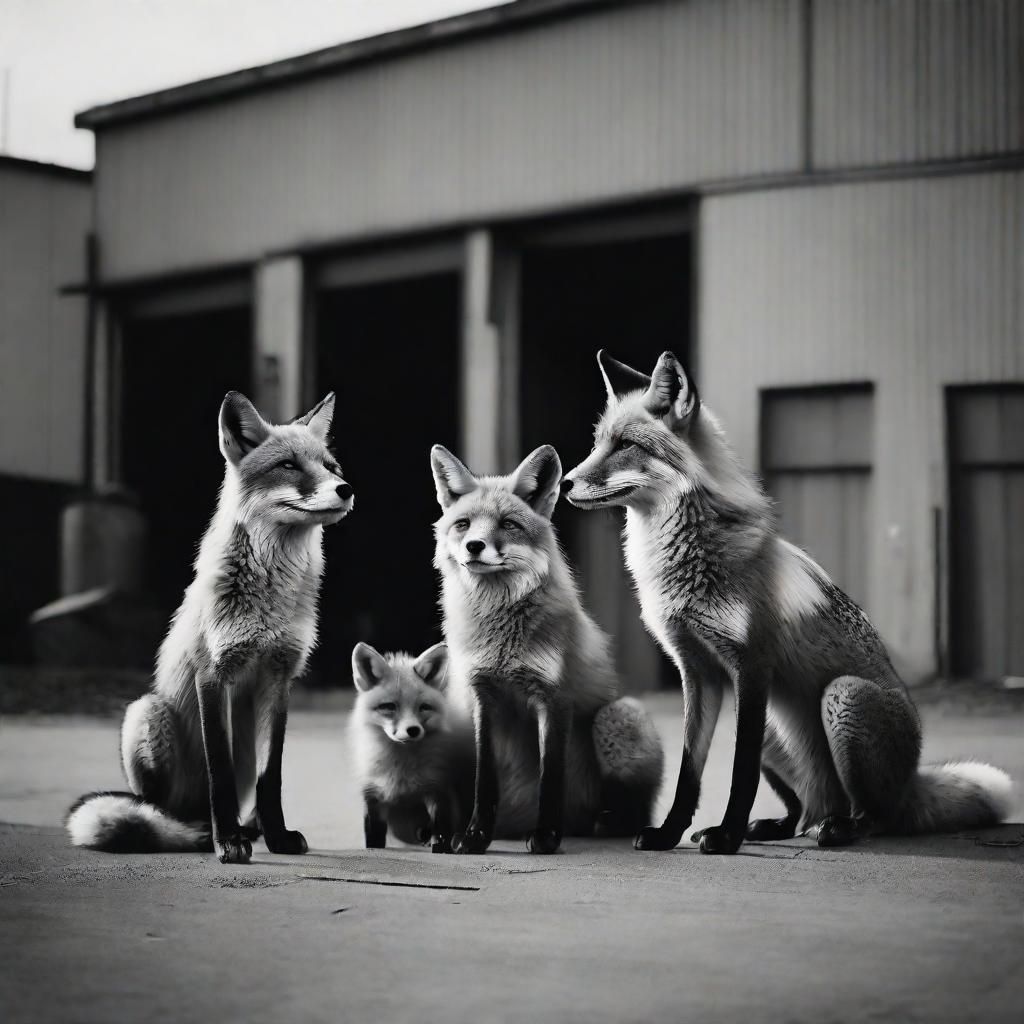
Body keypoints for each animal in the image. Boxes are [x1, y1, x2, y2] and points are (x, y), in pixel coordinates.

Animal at [66, 390, 353, 864]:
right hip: (144, 712)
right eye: (289, 465)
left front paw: (276, 836)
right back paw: (196, 831)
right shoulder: (213, 672)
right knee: (157, 811)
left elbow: (271, 777)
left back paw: (245, 828)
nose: (345, 489)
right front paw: (228, 842)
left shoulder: (280, 677)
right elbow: (219, 770)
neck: (270, 601)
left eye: (332, 467)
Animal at [349, 640, 474, 853]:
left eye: (424, 707)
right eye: (389, 707)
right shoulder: (373, 794)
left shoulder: (437, 790)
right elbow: (373, 838)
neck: (402, 775)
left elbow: (441, 829)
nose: (413, 730)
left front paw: (441, 848)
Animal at [430, 443, 665, 855]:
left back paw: (608, 825)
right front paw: (475, 836)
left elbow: (550, 776)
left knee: (631, 811)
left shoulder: (553, 697)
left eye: (508, 524)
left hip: (620, 715)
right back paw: (445, 833)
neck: (500, 635)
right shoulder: (480, 696)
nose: (474, 546)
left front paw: (545, 836)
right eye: (463, 525)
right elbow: (484, 780)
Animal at [563, 350, 1013, 855]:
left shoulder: (751, 666)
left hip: (840, 696)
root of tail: (912, 779)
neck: (686, 566)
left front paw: (727, 837)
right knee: (805, 809)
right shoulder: (698, 673)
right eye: (599, 444)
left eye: (625, 445)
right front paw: (670, 833)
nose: (565, 483)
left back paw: (840, 829)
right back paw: (779, 825)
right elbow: (688, 774)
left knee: (875, 815)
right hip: (774, 727)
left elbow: (739, 777)